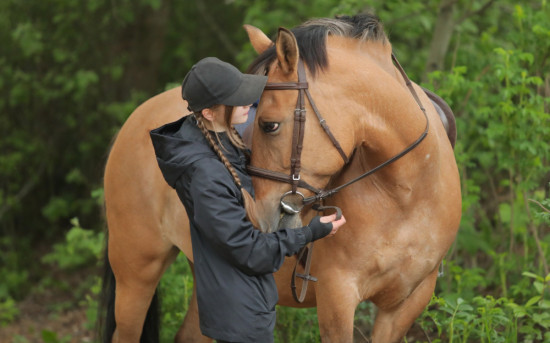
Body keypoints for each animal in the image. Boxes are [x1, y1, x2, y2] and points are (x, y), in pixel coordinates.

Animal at [99, 13, 462, 343]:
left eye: (269, 124)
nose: (260, 216)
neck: (405, 192)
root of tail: (137, 118)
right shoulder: (337, 295)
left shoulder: (405, 304)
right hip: (137, 270)